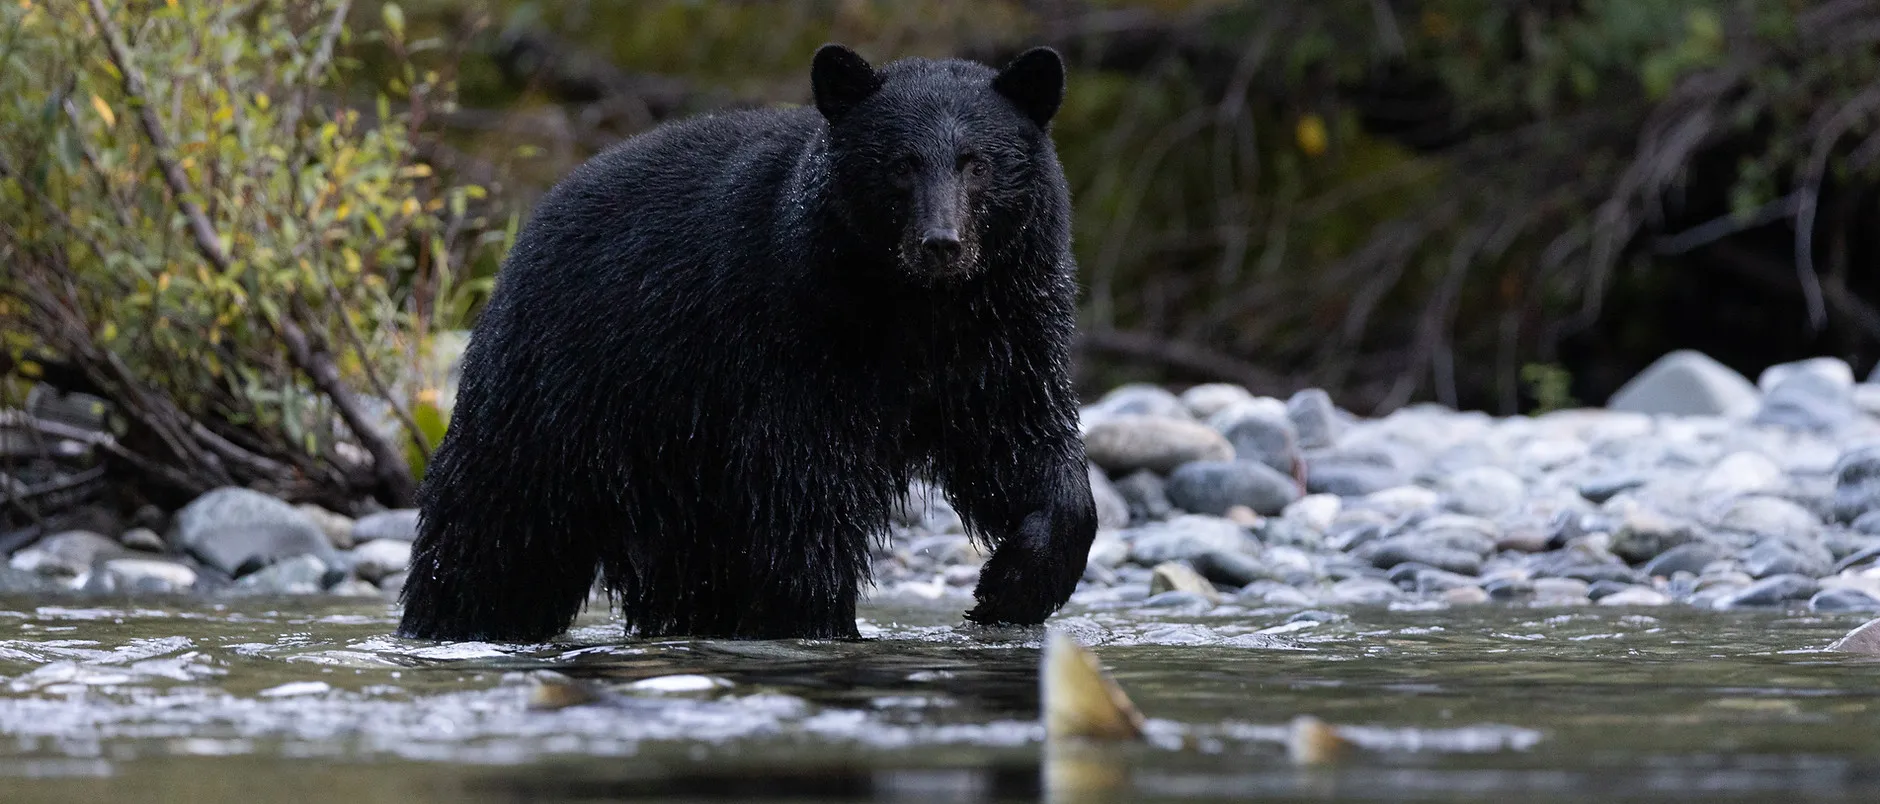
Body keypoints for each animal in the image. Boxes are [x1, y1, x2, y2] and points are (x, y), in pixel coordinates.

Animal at [396, 43, 1097, 642]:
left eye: (978, 163)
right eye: (901, 164)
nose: (941, 244)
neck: (916, 307)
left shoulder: (1003, 330)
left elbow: (1026, 446)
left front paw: (1008, 588)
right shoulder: (795, 337)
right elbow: (803, 490)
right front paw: (823, 624)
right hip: (559, 392)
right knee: (497, 533)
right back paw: (451, 620)